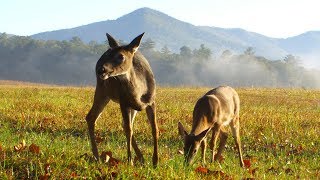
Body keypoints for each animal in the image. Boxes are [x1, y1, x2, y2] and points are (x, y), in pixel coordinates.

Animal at [86, 32, 159, 166]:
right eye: (108, 54)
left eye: (121, 56)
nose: (101, 69)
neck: (139, 94)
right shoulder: (123, 102)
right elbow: (129, 130)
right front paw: (129, 161)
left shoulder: (152, 101)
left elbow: (154, 129)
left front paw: (155, 161)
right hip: (102, 90)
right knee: (91, 117)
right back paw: (97, 156)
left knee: (124, 124)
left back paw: (141, 158)